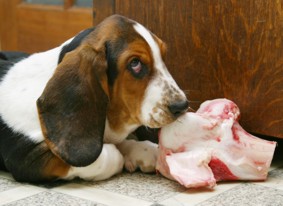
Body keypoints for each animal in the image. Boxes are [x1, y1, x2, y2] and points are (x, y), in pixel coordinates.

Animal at [0, 14, 191, 182]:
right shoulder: (27, 157)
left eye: (163, 56)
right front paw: (122, 156)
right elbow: (107, 155)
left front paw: (146, 150)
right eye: (135, 63)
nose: (182, 106)